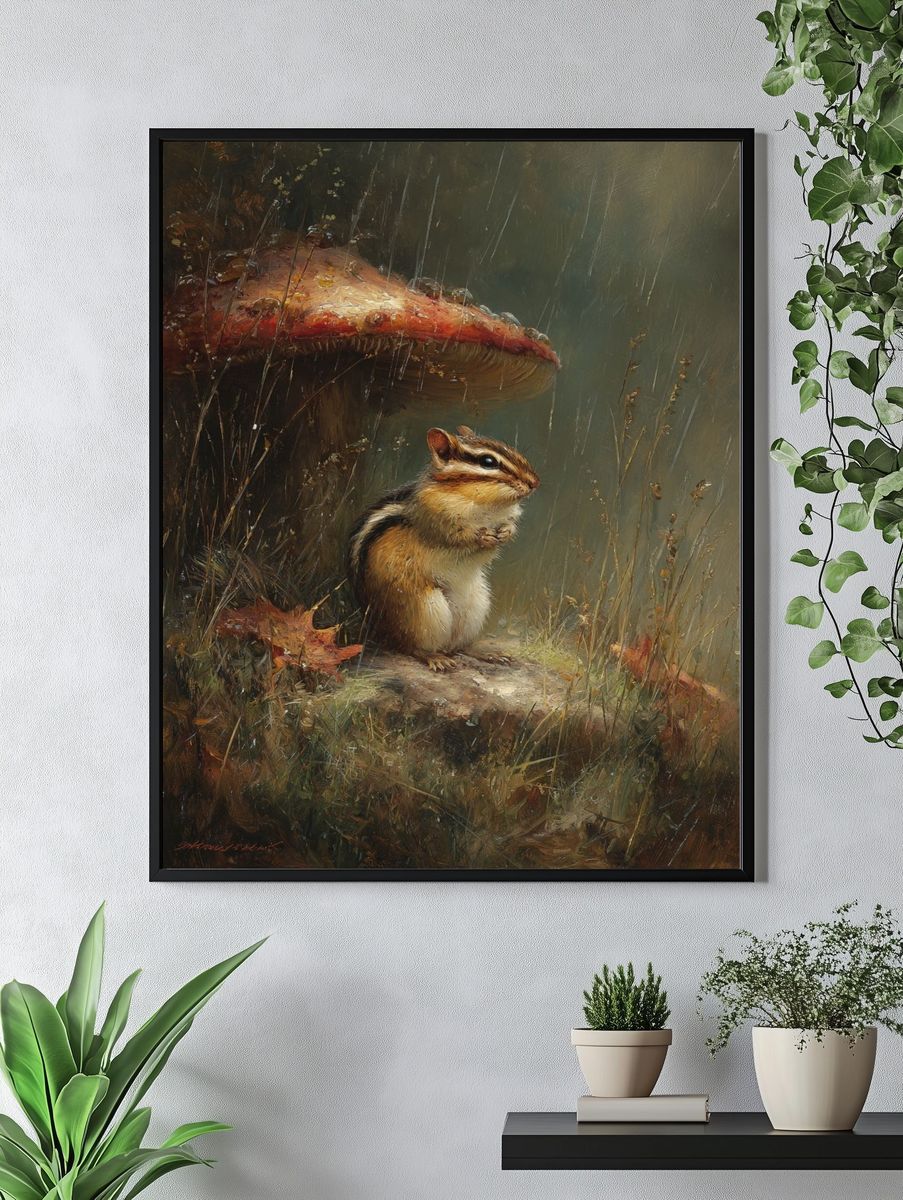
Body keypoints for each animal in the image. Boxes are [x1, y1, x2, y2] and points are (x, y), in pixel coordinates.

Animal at [348, 426, 539, 671]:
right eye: (488, 462)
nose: (535, 482)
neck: (488, 506)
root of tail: (380, 632)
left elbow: (507, 528)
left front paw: (506, 532)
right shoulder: (433, 518)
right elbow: (454, 536)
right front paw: (482, 536)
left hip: (476, 604)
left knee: (458, 646)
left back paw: (486, 653)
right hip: (422, 610)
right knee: (412, 647)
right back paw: (435, 658)